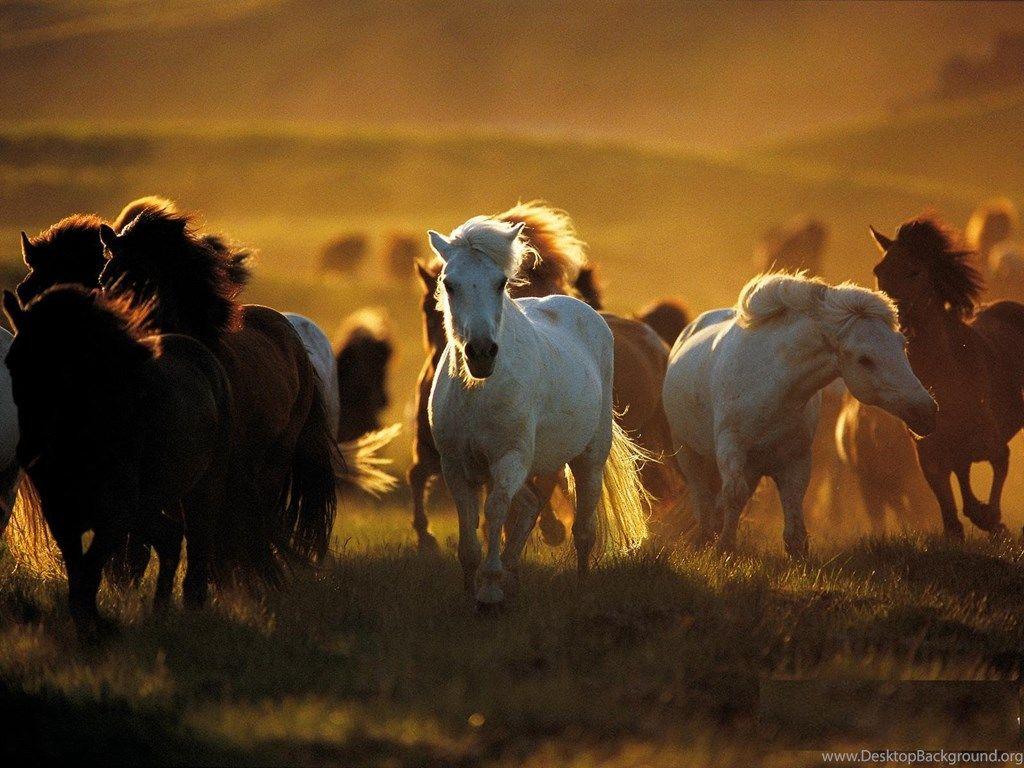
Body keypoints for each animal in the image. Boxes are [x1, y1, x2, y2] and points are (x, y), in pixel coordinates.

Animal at [1, 286, 279, 636]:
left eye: (68, 365)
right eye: (12, 362)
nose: (29, 451)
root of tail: (203, 356)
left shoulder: (114, 513)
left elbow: (91, 571)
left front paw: (98, 629)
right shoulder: (62, 513)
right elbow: (79, 574)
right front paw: (91, 628)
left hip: (201, 490)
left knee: (197, 549)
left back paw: (190, 611)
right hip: (147, 506)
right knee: (171, 538)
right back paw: (159, 611)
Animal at [427, 216, 650, 607]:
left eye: (501, 283)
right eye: (448, 283)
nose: (481, 353)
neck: (477, 393)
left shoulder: (509, 459)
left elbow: (496, 510)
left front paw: (489, 590)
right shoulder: (456, 465)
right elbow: (470, 528)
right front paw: (474, 588)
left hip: (589, 458)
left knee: (582, 529)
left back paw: (581, 584)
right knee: (531, 507)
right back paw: (513, 578)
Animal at [871, 216, 1024, 538]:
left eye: (914, 270)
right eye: (879, 271)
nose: (889, 318)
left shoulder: (993, 444)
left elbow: (999, 468)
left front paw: (994, 521)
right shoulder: (930, 456)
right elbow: (952, 518)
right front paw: (979, 518)